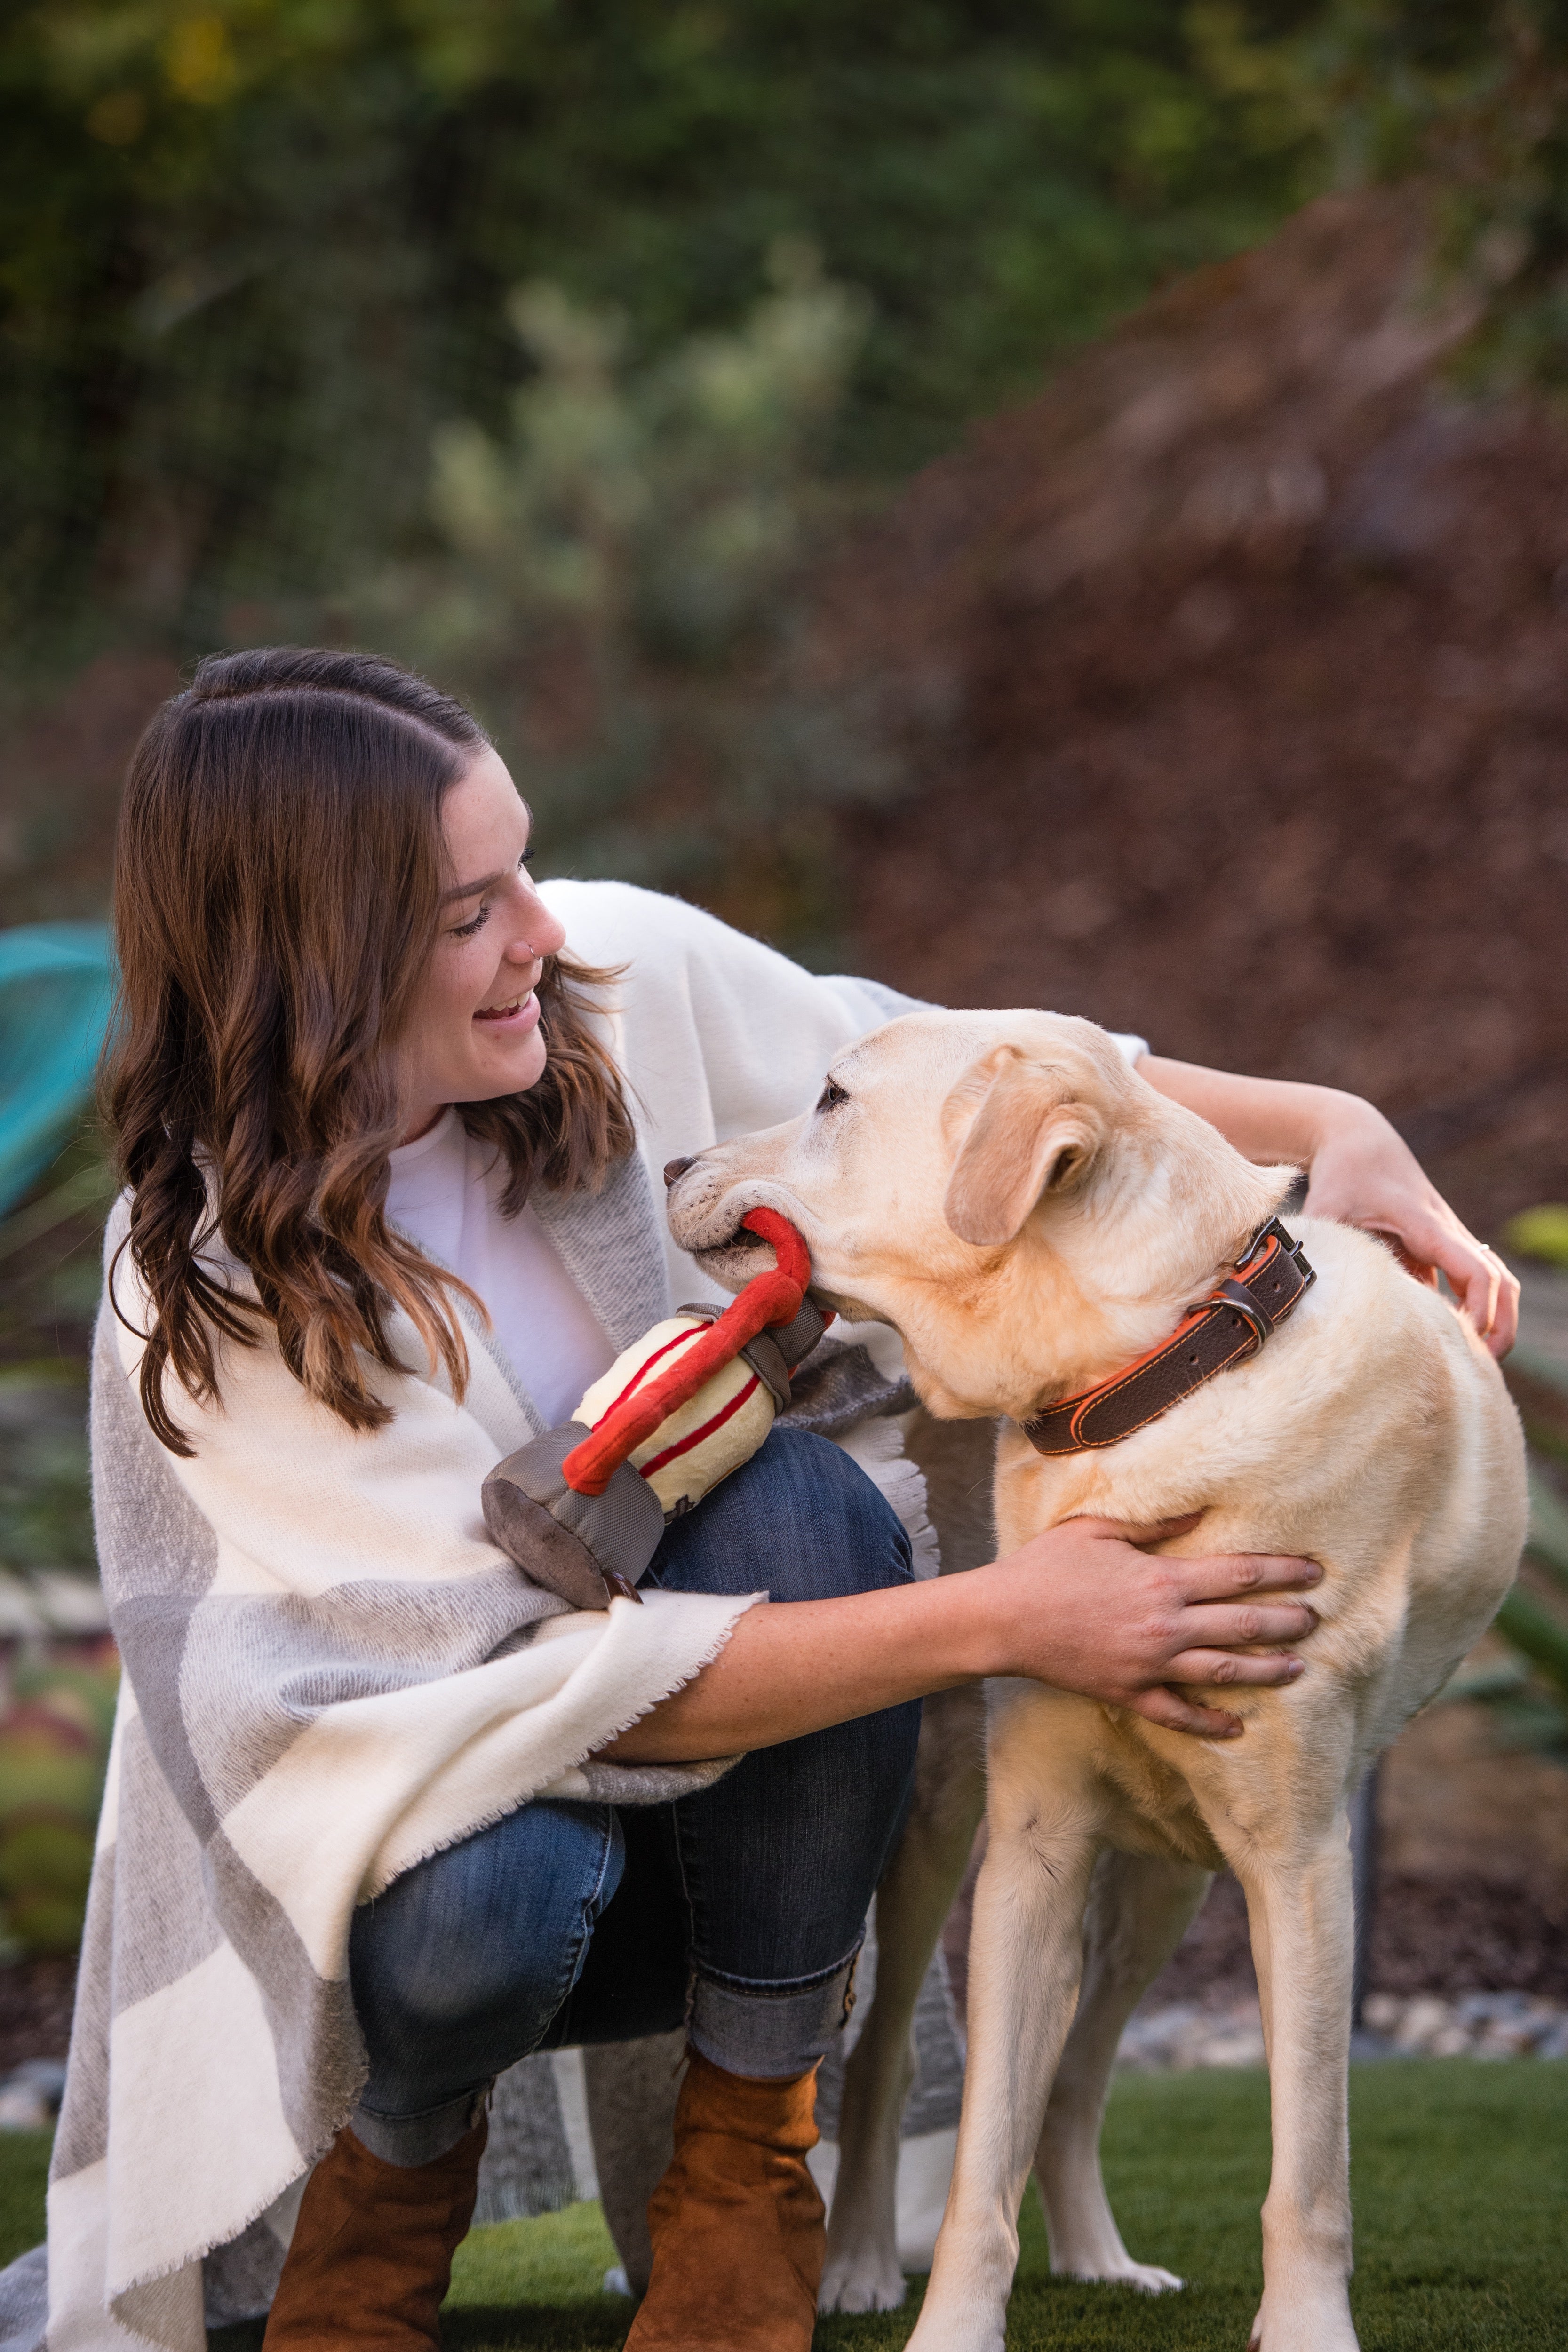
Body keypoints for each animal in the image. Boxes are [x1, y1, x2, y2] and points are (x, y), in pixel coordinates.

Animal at [668, 1011, 1523, 2352]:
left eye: (831, 1097)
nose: (669, 1164)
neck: (1154, 1376)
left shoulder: (1298, 1865)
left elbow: (1308, 2165)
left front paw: (1305, 2326)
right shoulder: (1031, 1850)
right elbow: (979, 2162)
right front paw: (951, 2330)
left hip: (1172, 1882)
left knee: (1077, 2077)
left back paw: (1097, 2259)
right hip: (941, 1823)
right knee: (889, 2066)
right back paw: (856, 2262)